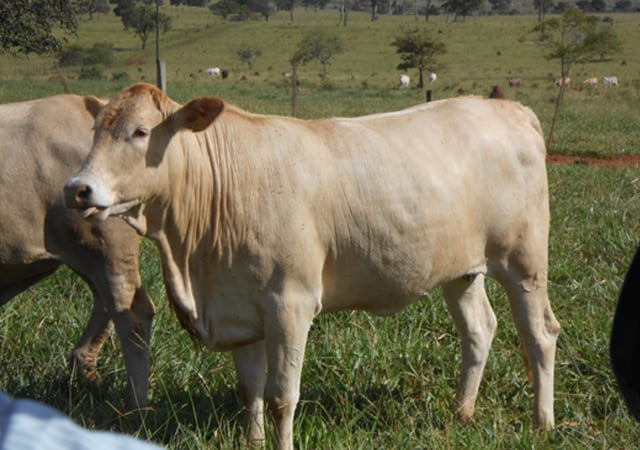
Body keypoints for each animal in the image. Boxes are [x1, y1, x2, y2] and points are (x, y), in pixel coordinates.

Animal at [65, 82, 560, 448]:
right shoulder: (238, 308)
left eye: (139, 132)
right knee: (479, 330)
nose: (77, 188)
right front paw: (253, 442)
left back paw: (543, 422)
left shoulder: (290, 305)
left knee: (539, 335)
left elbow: (282, 397)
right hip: (461, 270)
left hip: (524, 262)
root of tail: (508, 109)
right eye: (95, 131)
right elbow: (250, 391)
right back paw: (462, 412)